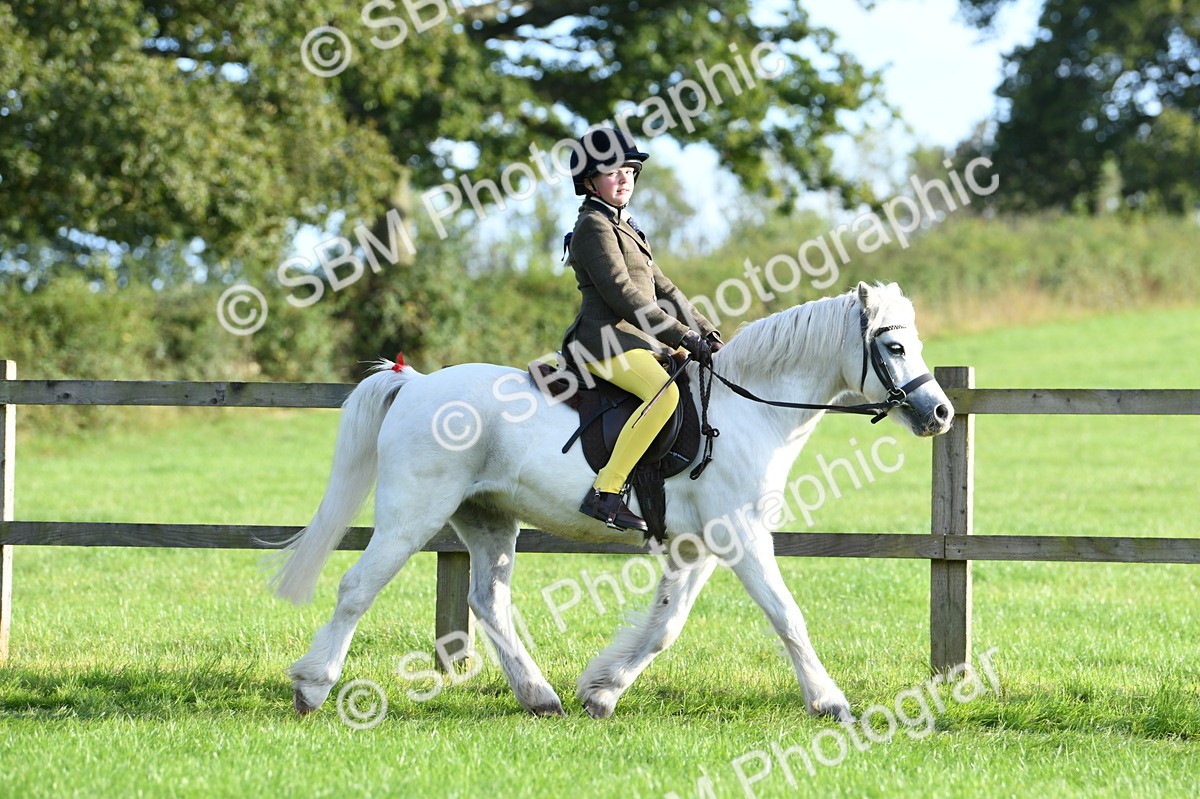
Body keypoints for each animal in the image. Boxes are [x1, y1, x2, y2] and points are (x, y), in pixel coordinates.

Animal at [271, 281, 954, 722]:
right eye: (894, 347)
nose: (941, 413)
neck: (750, 410)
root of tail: (413, 385)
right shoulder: (742, 536)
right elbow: (787, 615)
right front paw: (830, 701)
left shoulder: (699, 546)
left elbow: (664, 625)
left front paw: (601, 691)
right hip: (413, 514)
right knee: (357, 588)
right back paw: (312, 689)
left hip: (488, 519)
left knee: (489, 602)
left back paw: (540, 698)